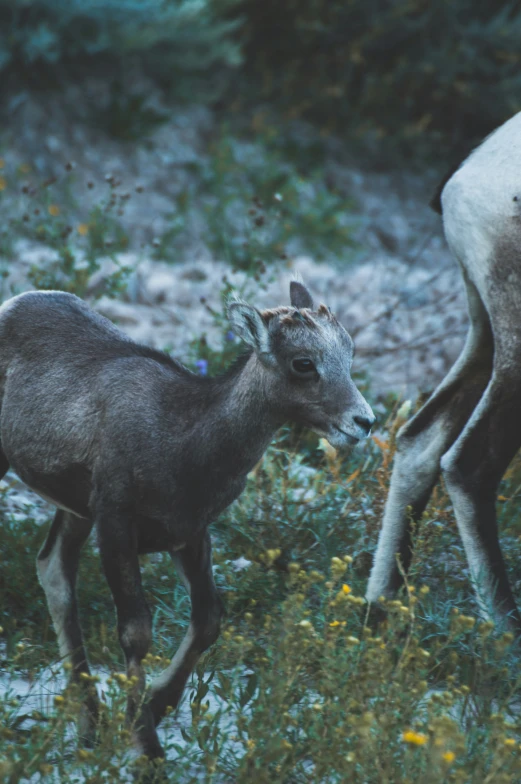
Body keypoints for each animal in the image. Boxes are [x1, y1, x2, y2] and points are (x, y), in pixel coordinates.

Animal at [2, 282, 372, 760]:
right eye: (303, 363)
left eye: (349, 352)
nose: (364, 422)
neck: (182, 437)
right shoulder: (116, 526)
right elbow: (137, 634)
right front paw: (147, 749)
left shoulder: (191, 534)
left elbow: (208, 620)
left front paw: (156, 707)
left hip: (74, 513)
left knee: (53, 570)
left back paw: (89, 730)